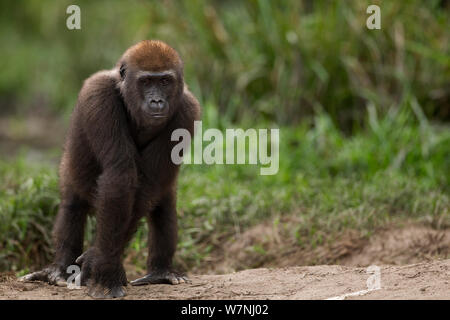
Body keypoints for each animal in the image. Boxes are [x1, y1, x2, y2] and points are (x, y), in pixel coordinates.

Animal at [21, 40, 200, 298]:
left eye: (165, 81)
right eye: (146, 82)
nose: (157, 101)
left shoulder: (188, 110)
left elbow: (147, 184)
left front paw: (97, 261)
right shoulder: (99, 94)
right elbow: (120, 178)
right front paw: (106, 272)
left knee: (162, 206)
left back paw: (161, 272)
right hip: (69, 169)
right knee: (72, 206)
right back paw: (60, 269)